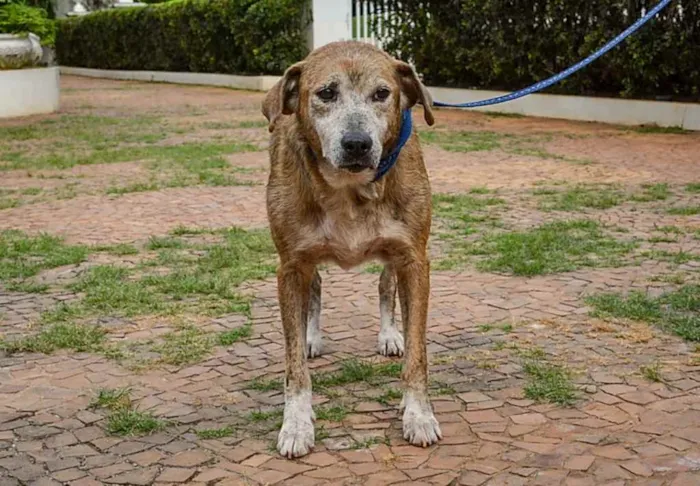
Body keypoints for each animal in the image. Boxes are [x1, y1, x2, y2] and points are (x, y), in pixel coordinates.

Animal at [262, 39, 442, 458]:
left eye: (382, 94)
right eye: (326, 93)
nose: (357, 144)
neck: (349, 189)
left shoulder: (414, 259)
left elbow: (418, 354)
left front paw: (418, 414)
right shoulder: (290, 266)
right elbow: (293, 363)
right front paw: (296, 423)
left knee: (385, 286)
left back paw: (390, 334)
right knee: (315, 290)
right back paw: (312, 337)